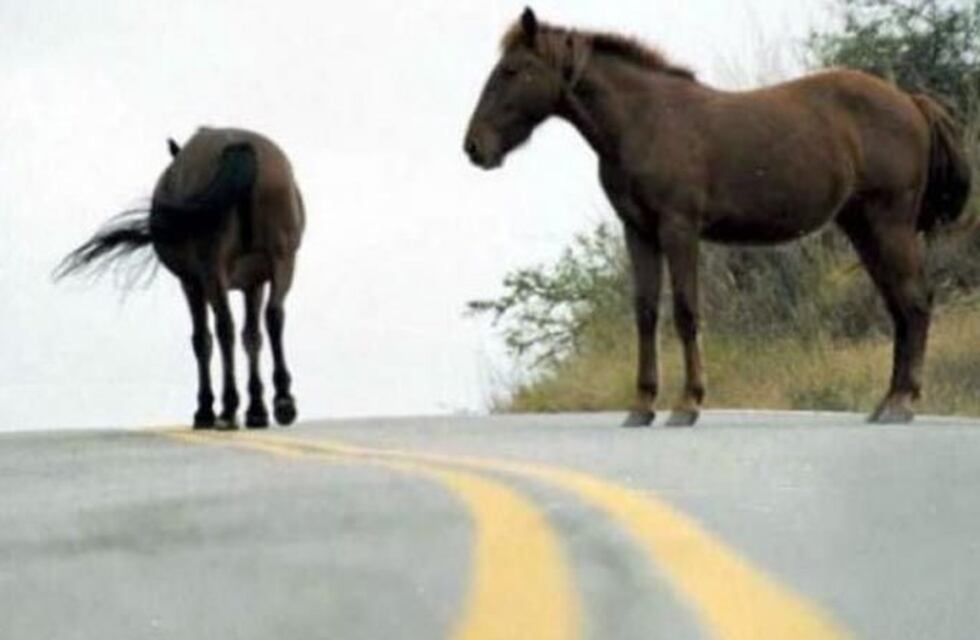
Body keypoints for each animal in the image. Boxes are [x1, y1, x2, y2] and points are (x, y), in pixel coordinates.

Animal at [56, 127, 305, 430]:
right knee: (273, 315)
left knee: (224, 328)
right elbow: (252, 337)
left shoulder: (192, 283)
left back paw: (227, 408)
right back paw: (283, 400)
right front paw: (257, 409)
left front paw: (206, 409)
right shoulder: (253, 283)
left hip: (212, 271)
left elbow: (202, 340)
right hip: (282, 258)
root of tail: (238, 147)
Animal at [464, 8, 972, 426]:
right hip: (863, 227)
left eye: (512, 71)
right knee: (899, 305)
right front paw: (641, 405)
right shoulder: (639, 233)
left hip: (890, 224)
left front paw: (687, 404)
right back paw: (887, 402)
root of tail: (912, 102)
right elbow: (645, 313)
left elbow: (686, 311)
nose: (474, 147)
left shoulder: (679, 229)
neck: (645, 120)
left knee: (915, 302)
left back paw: (901, 402)